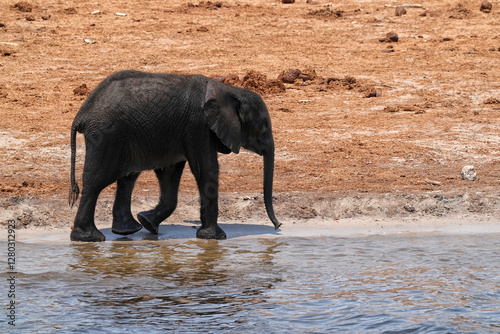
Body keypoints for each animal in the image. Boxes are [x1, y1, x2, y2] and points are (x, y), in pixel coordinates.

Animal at [68, 71, 282, 243]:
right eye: (263, 127)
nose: (278, 226)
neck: (230, 91)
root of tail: (81, 116)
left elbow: (169, 174)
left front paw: (148, 223)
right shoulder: (199, 126)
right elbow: (206, 170)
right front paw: (216, 238)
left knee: (127, 178)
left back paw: (127, 230)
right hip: (105, 136)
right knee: (95, 182)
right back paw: (90, 238)